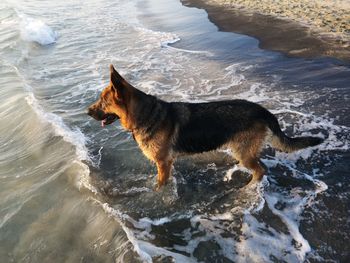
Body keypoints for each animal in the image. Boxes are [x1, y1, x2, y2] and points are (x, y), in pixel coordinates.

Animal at [87, 65, 322, 191]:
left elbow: (160, 185)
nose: (86, 112)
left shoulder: (163, 164)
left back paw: (249, 188)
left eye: (102, 101)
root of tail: (263, 110)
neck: (145, 115)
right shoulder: (168, 164)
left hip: (244, 152)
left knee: (261, 170)